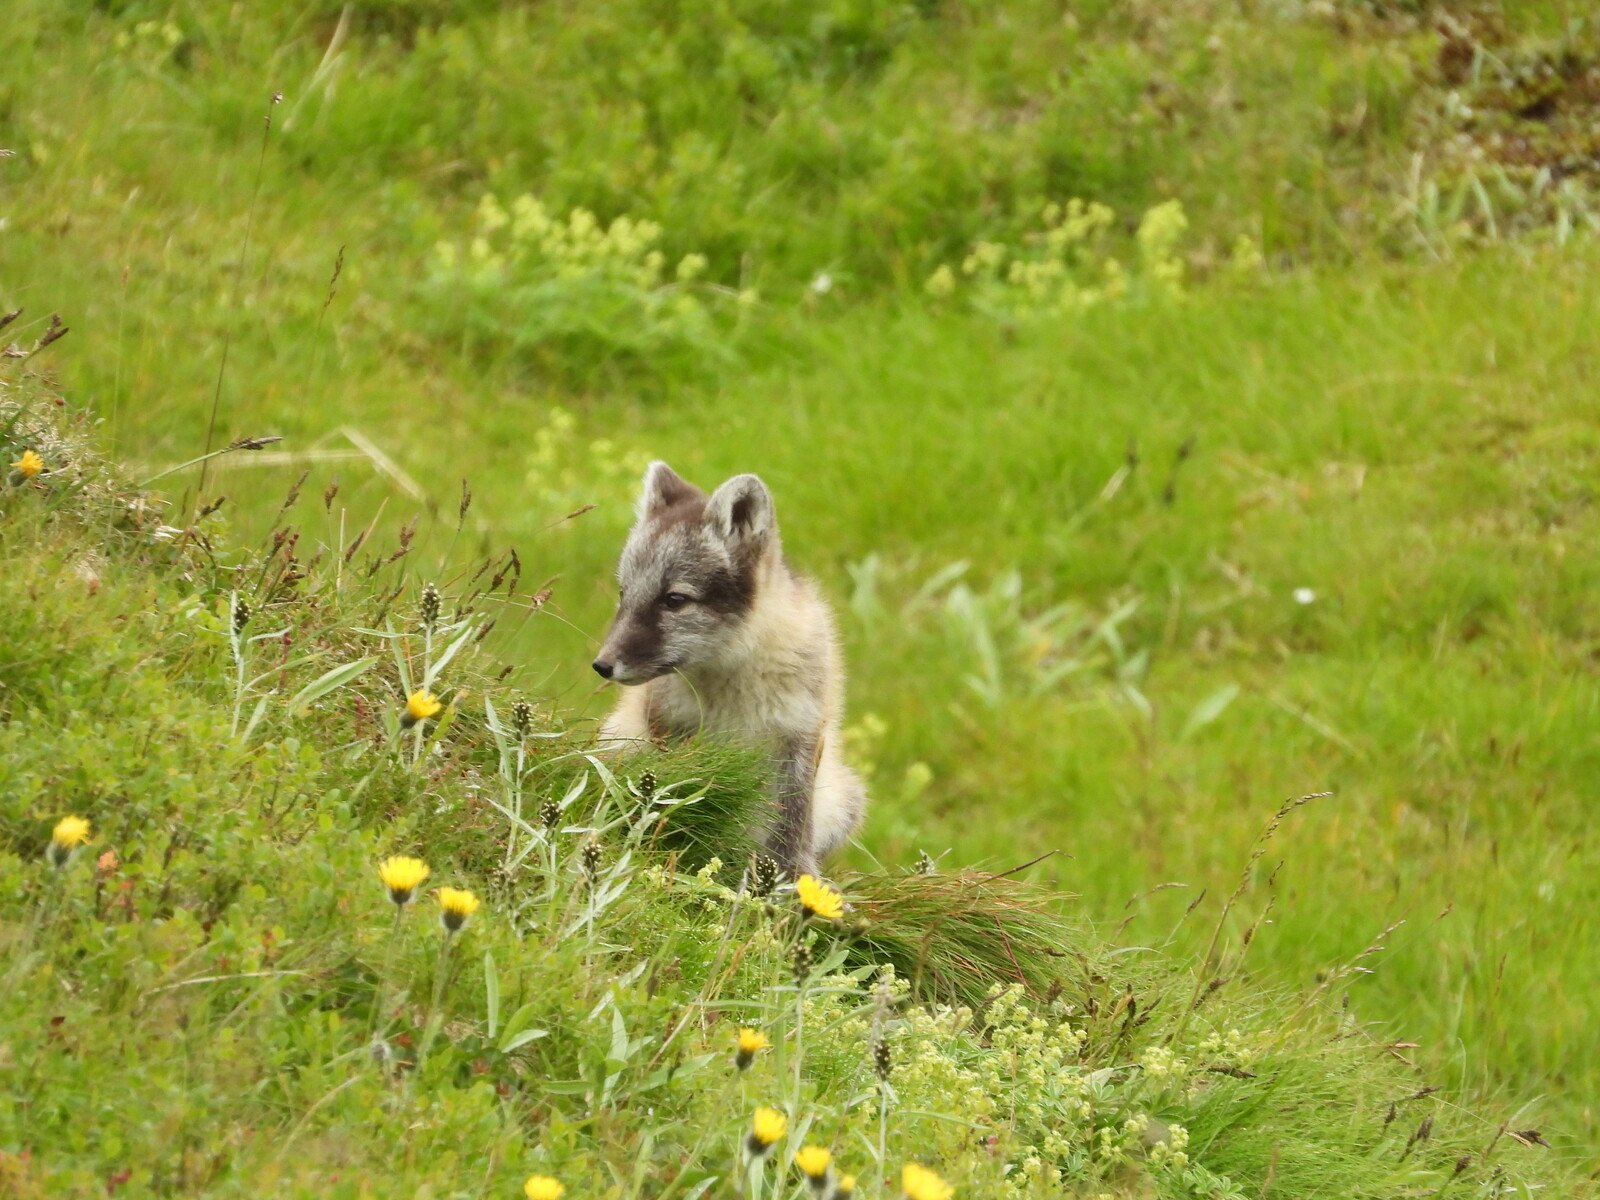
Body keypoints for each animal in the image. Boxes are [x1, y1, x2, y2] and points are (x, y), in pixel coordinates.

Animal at [592, 460, 864, 876]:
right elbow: (673, 795)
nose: (602, 665)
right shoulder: (669, 729)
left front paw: (788, 880)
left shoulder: (799, 738)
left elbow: (790, 827)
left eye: (674, 599)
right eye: (624, 593)